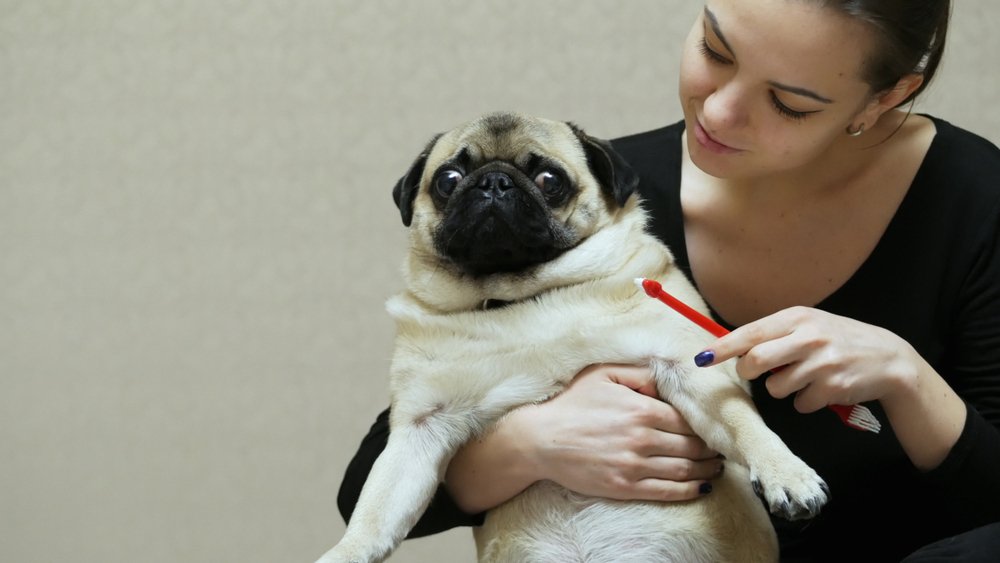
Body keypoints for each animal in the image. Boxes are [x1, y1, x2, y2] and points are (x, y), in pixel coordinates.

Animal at [314, 111, 828, 563]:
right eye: (448, 179)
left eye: (549, 180)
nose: (493, 182)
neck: (521, 298)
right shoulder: (418, 430)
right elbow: (374, 512)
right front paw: (346, 553)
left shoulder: (688, 365)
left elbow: (743, 423)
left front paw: (787, 474)